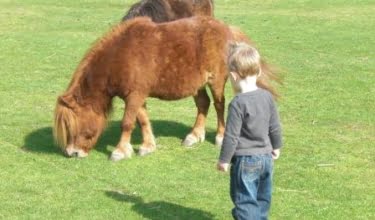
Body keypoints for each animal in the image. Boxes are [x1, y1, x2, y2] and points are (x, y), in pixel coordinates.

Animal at [53, 15, 280, 160]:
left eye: (72, 125)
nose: (72, 153)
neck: (120, 56)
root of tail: (226, 29)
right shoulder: (136, 96)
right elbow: (143, 120)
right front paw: (147, 146)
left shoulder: (134, 96)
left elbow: (127, 123)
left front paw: (120, 150)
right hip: (196, 85)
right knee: (203, 104)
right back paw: (194, 135)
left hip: (215, 81)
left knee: (218, 105)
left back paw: (220, 136)